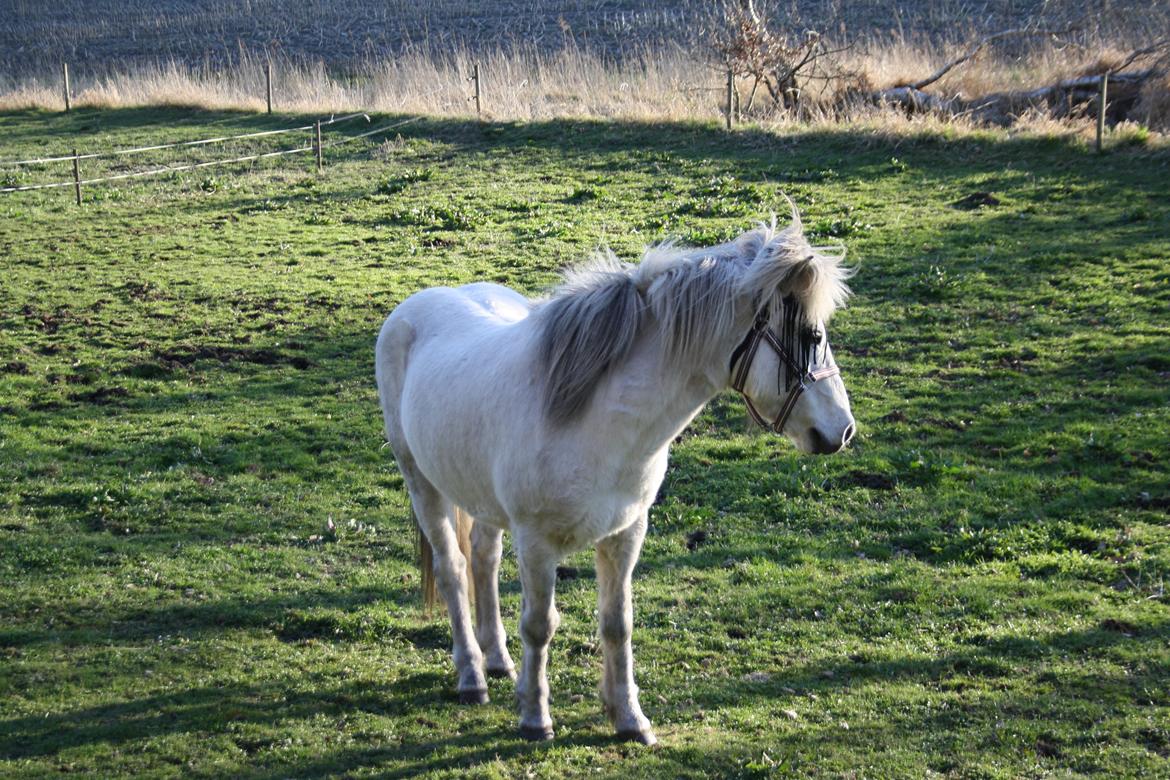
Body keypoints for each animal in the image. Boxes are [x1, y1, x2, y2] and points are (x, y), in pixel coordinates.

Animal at [379, 209, 856, 743]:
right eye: (813, 337)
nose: (843, 430)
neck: (598, 420)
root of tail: (415, 306)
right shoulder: (537, 542)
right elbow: (539, 624)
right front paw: (536, 718)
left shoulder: (626, 532)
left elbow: (616, 623)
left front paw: (628, 717)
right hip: (423, 486)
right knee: (454, 571)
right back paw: (472, 677)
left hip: (483, 500)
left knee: (483, 559)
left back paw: (498, 660)